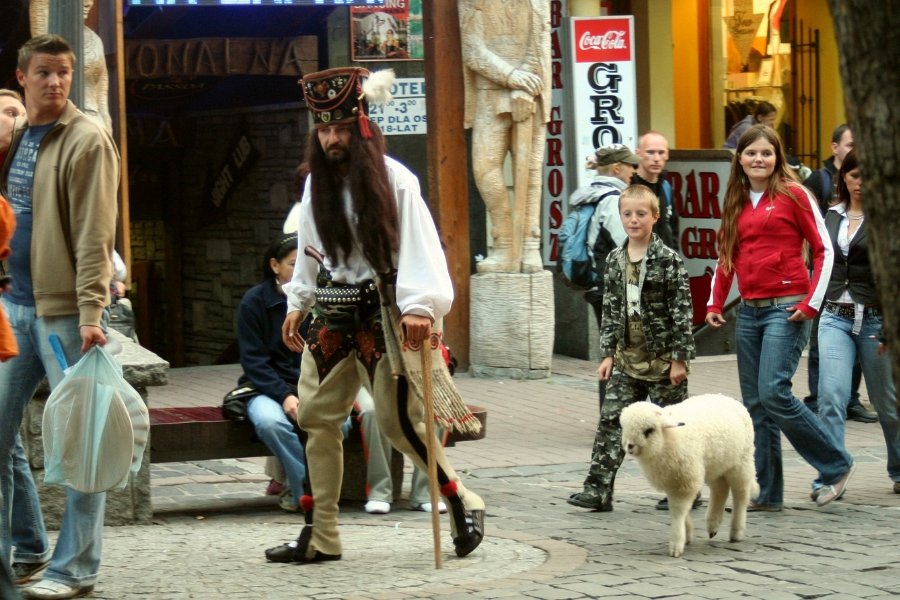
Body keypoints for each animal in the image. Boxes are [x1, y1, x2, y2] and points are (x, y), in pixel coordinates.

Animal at [620, 394, 760, 556]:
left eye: (649, 430)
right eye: (625, 428)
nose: (630, 446)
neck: (667, 440)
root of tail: (728, 398)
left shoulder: (685, 479)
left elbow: (678, 510)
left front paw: (676, 545)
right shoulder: (674, 480)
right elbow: (679, 509)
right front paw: (687, 535)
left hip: (741, 462)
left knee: (741, 495)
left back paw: (736, 532)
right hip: (714, 465)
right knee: (720, 490)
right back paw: (712, 526)